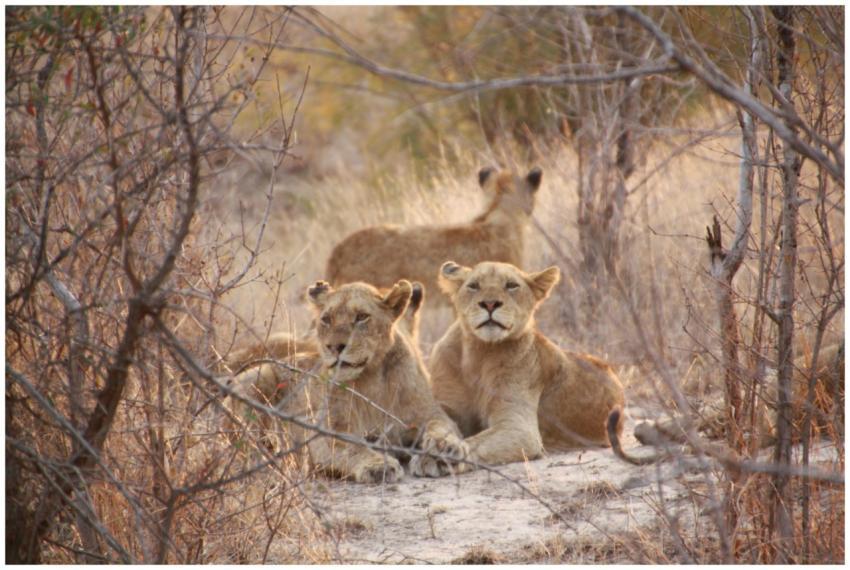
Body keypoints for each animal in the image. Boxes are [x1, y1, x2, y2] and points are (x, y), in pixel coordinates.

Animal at [227, 279, 466, 484]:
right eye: (326, 319)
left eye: (361, 317)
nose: (334, 347)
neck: (371, 379)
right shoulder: (324, 434)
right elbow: (352, 446)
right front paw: (378, 465)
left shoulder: (430, 413)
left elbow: (441, 428)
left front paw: (443, 452)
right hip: (258, 377)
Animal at [417, 260, 626, 474]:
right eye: (473, 286)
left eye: (511, 285)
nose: (490, 304)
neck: (479, 352)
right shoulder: (446, 406)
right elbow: (435, 422)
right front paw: (438, 445)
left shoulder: (519, 428)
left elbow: (478, 441)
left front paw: (445, 454)